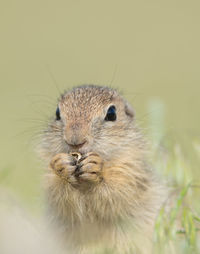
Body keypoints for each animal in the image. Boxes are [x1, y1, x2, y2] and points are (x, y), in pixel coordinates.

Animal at [38, 85, 165, 254]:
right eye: (57, 113)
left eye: (111, 113)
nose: (75, 141)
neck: (83, 183)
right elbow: (58, 195)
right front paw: (61, 166)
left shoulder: (131, 171)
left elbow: (119, 192)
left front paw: (95, 167)